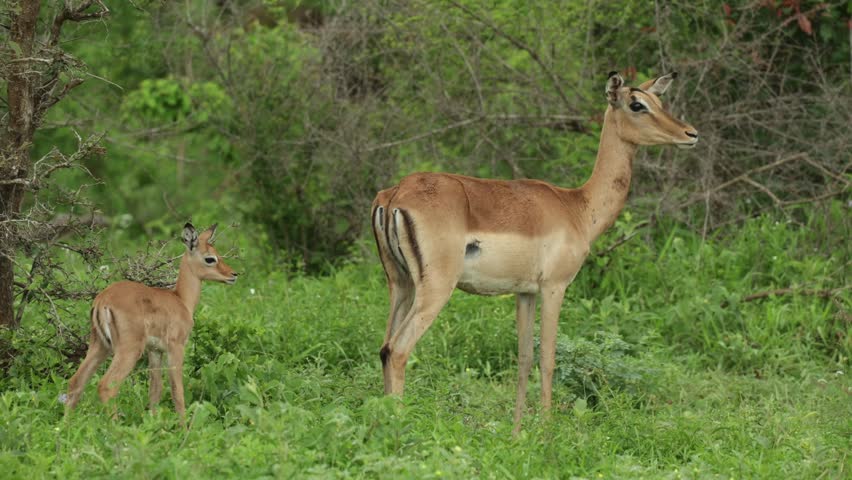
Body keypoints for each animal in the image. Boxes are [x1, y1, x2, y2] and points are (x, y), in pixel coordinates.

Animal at [63, 222, 237, 422]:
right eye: (210, 258)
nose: (233, 274)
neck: (181, 300)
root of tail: (102, 300)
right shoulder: (175, 347)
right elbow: (177, 390)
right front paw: (183, 427)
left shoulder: (155, 351)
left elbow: (156, 389)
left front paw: (153, 422)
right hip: (128, 350)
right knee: (107, 385)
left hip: (100, 346)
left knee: (76, 382)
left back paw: (64, 425)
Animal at [371, 72, 698, 433]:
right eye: (636, 104)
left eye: (659, 101)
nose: (690, 134)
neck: (578, 208)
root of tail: (394, 195)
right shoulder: (554, 287)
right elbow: (548, 358)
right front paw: (546, 430)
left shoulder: (524, 292)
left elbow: (525, 357)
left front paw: (517, 433)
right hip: (436, 288)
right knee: (399, 349)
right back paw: (400, 427)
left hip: (400, 284)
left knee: (384, 348)